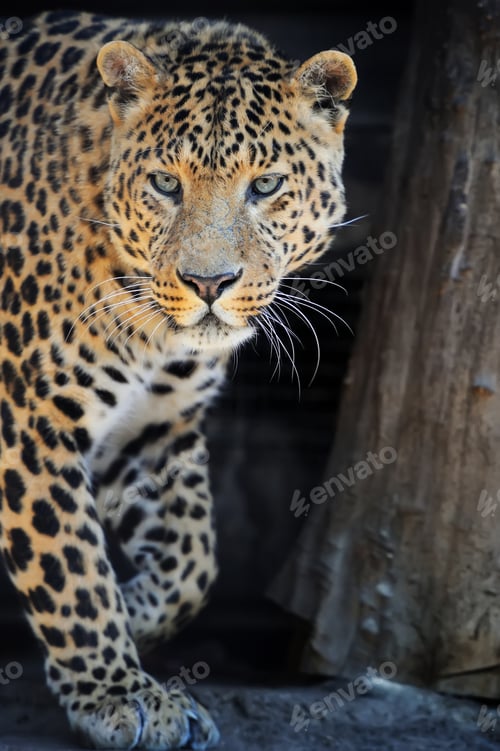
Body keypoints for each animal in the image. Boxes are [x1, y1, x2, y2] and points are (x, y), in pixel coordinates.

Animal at [0, 9, 357, 749]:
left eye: (265, 186)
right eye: (166, 184)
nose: (209, 282)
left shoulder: (155, 429)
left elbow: (194, 560)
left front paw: (134, 617)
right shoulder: (28, 421)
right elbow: (70, 566)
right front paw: (118, 693)